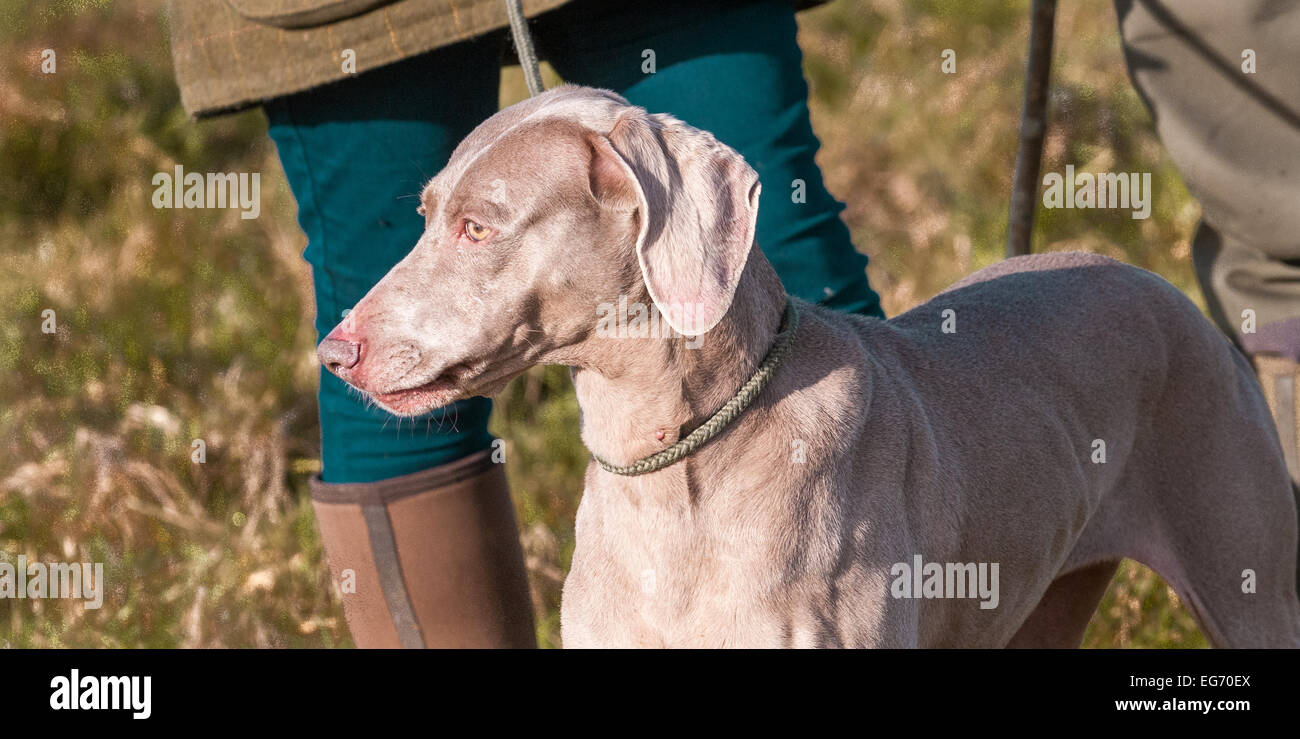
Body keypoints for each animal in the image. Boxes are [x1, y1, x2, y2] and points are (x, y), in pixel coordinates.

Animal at [317, 85, 1300, 645]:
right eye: (424, 213)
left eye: (479, 226)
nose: (334, 352)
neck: (671, 464)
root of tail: (1158, 283)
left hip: (1248, 583)